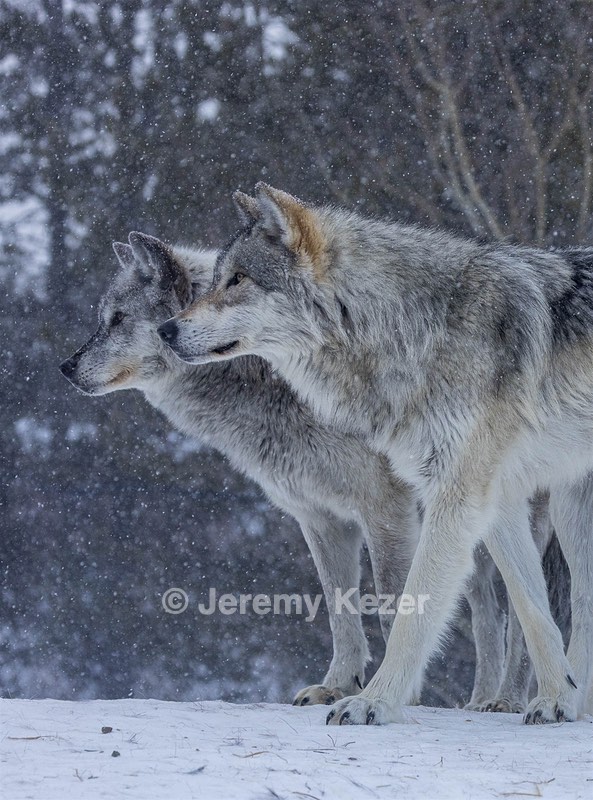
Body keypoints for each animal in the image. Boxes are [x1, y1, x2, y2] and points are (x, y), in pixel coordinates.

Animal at [60, 232, 540, 711]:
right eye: (103, 319)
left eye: (117, 319)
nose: (65, 367)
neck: (269, 374)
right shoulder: (321, 520)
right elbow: (339, 609)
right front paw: (339, 685)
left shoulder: (385, 509)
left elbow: (393, 604)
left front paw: (387, 698)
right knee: (489, 612)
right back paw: (482, 700)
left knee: (526, 606)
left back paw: (512, 701)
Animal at [159, 184, 593, 725]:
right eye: (215, 279)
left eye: (238, 279)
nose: (165, 330)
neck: (414, 326)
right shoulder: (499, 500)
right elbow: (534, 610)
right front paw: (556, 699)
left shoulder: (457, 496)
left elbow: (412, 612)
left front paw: (373, 702)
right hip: (570, 515)